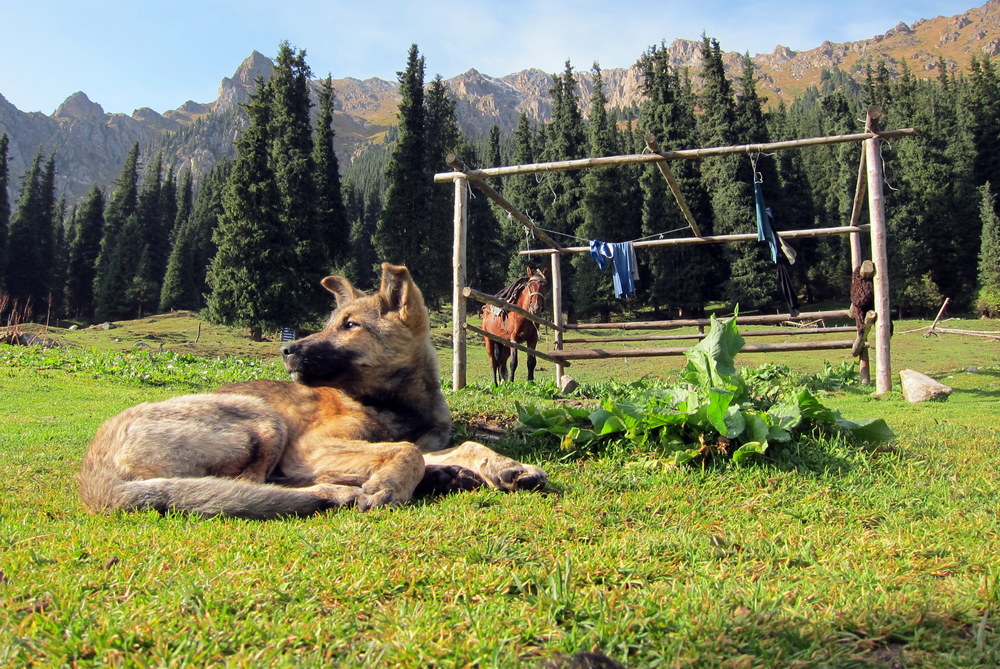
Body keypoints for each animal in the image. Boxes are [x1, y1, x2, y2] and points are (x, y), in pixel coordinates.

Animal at [78, 260, 548, 516]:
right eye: (329, 324)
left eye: (349, 325)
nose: (287, 350)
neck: (396, 402)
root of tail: (94, 474)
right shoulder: (314, 446)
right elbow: (406, 451)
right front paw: (391, 485)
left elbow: (460, 446)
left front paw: (508, 466)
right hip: (261, 419)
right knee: (257, 486)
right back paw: (342, 490)